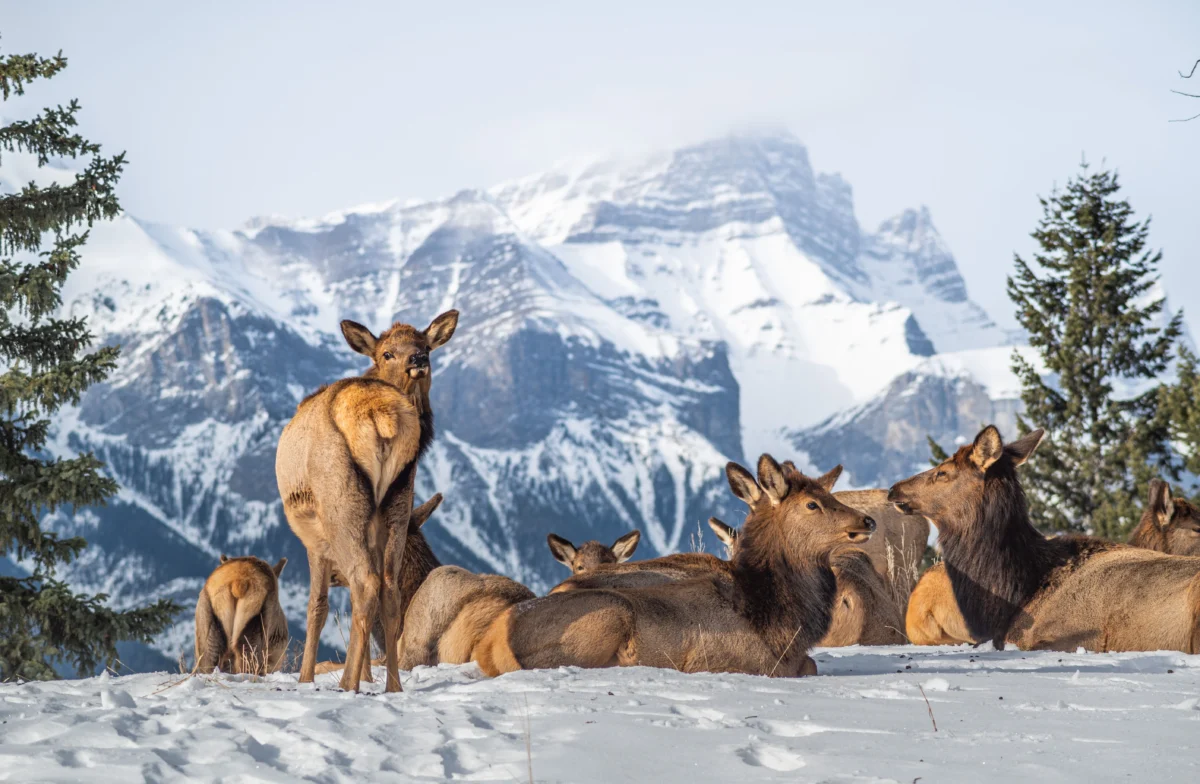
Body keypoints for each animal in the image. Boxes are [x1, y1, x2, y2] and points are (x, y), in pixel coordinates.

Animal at [276, 310, 458, 692]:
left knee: (365, 582)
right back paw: (392, 686)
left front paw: (305, 678)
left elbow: (316, 607)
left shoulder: (315, 541)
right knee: (388, 588)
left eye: (425, 348)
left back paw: (347, 684)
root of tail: (381, 416)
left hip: (341, 504)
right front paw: (367, 675)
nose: (418, 360)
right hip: (399, 503)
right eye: (387, 353)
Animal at [473, 456, 875, 678]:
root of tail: (490, 645)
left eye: (829, 494)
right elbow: (809, 665)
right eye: (812, 504)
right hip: (611, 611)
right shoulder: (745, 660)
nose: (867, 520)